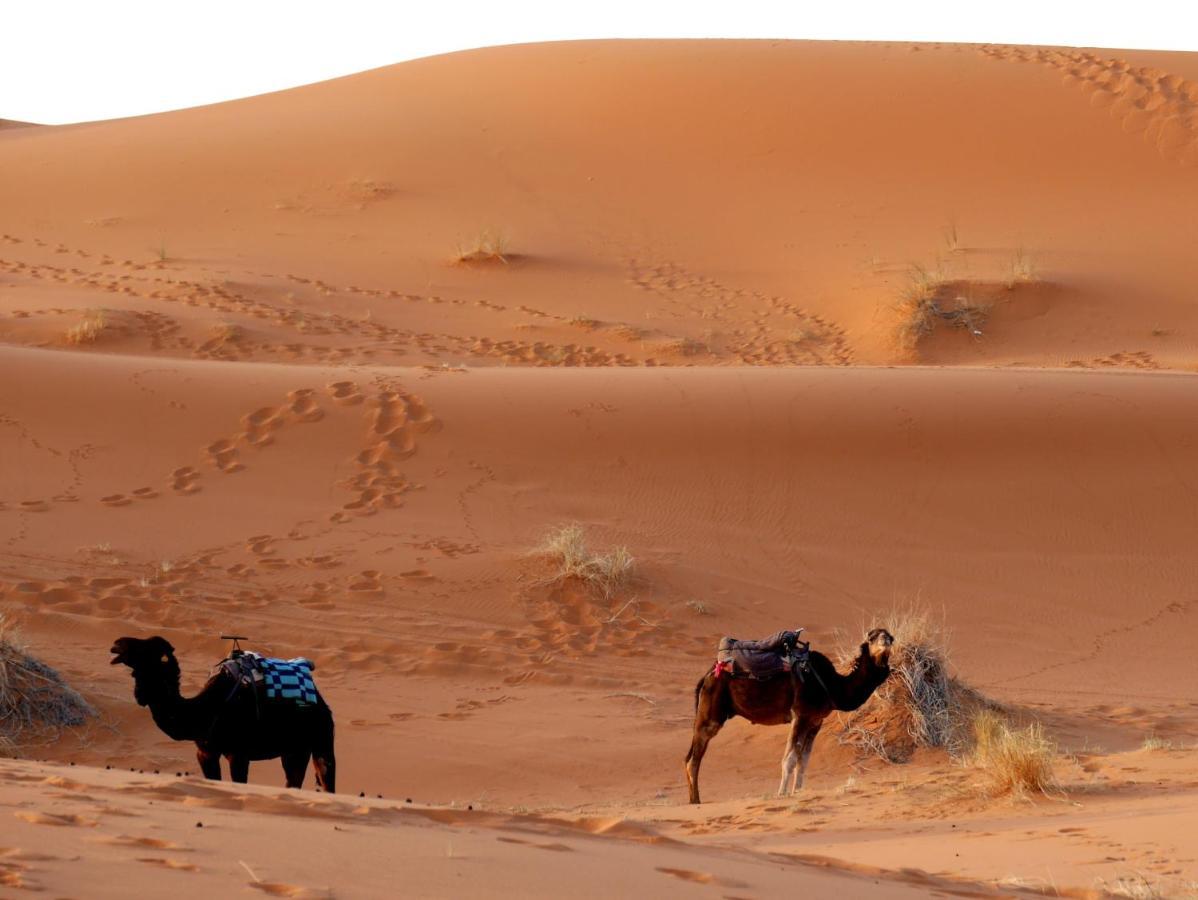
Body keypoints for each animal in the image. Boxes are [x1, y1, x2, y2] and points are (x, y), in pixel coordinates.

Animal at [110, 637, 335, 790]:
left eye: (145, 647)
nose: (117, 643)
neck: (205, 710)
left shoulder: (239, 754)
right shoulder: (205, 752)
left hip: (321, 738)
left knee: (326, 776)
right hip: (294, 749)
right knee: (293, 779)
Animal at [690, 627, 896, 805]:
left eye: (890, 636)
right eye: (872, 637)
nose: (885, 640)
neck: (831, 685)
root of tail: (708, 674)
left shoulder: (815, 721)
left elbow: (802, 760)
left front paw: (797, 792)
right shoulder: (801, 715)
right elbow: (789, 760)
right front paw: (781, 794)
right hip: (711, 714)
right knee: (693, 758)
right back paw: (695, 801)